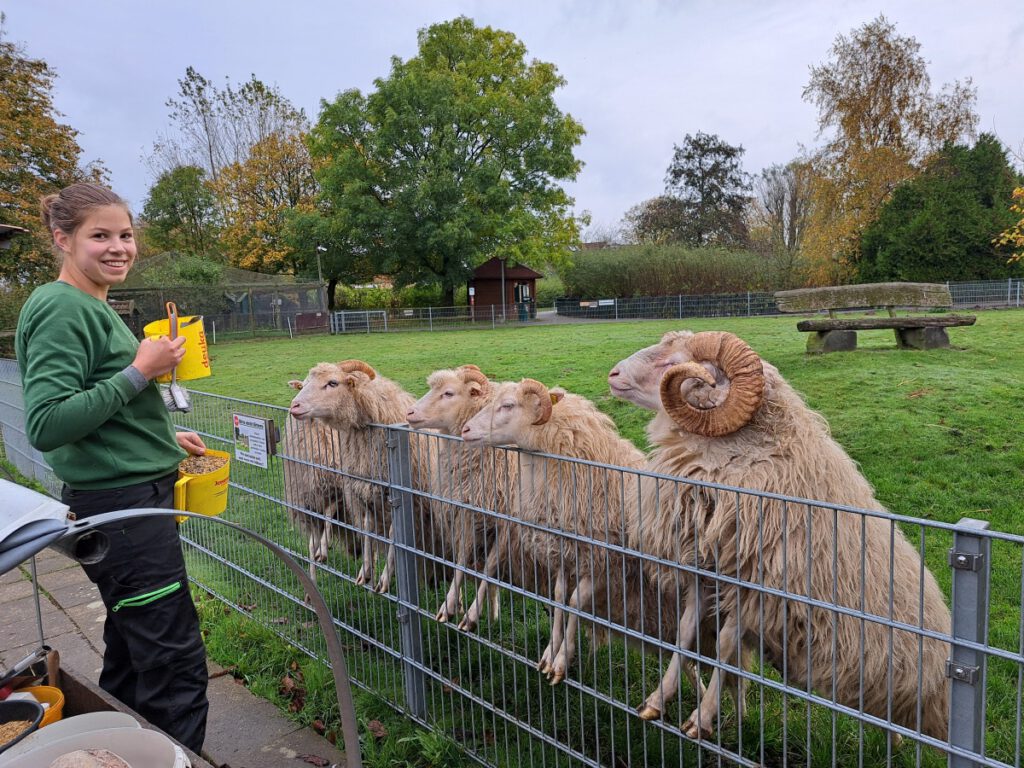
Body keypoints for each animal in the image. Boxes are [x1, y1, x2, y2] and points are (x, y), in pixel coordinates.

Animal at [288, 362, 432, 593]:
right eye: (304, 384)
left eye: (332, 383)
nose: (294, 406)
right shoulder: (358, 494)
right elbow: (365, 532)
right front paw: (365, 572)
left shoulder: (398, 499)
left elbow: (394, 540)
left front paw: (383, 580)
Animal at [462, 382, 667, 688]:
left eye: (508, 405)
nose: (465, 430)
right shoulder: (561, 551)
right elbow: (559, 598)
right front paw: (551, 652)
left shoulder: (600, 561)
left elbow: (574, 603)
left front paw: (561, 660)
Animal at [606, 331, 950, 741]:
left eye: (673, 363)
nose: (613, 374)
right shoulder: (704, 570)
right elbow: (686, 632)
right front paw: (658, 700)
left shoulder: (755, 588)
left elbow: (725, 648)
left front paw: (702, 720)